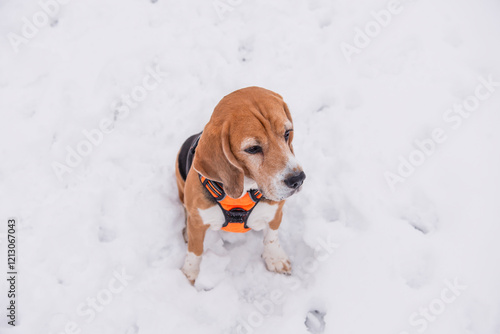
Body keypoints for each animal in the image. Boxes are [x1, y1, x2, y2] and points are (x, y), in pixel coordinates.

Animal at [176, 87, 308, 284]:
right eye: (252, 149)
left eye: (287, 133)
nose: (298, 179)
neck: (245, 189)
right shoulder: (198, 223)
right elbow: (195, 250)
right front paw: (189, 273)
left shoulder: (276, 210)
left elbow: (272, 236)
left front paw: (275, 258)